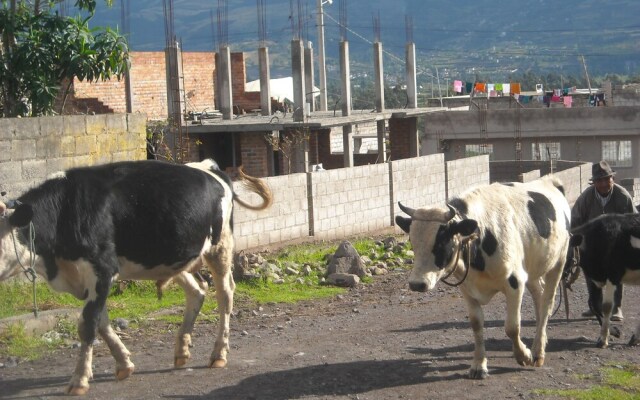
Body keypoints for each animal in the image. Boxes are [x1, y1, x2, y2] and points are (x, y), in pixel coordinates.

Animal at [0, 159, 272, 394]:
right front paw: (123, 364)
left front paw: (79, 380)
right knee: (197, 291)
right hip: (174, 258)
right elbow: (101, 322)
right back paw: (182, 351)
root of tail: (208, 166)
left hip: (220, 247)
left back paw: (218, 354)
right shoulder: (88, 279)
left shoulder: (102, 268)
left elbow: (88, 324)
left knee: (225, 296)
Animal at [396, 177, 568, 380]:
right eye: (412, 242)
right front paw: (479, 365)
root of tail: (549, 181)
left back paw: (537, 351)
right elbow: (476, 324)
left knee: (547, 303)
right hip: (532, 270)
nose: (417, 284)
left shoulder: (515, 283)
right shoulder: (467, 289)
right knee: (539, 300)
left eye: (441, 241)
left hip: (558, 262)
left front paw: (524, 355)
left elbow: (512, 327)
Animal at [568, 214, 640, 348]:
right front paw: (613, 331)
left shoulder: (613, 276)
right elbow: (594, 304)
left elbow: (606, 306)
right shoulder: (593, 278)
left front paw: (603, 340)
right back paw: (635, 338)